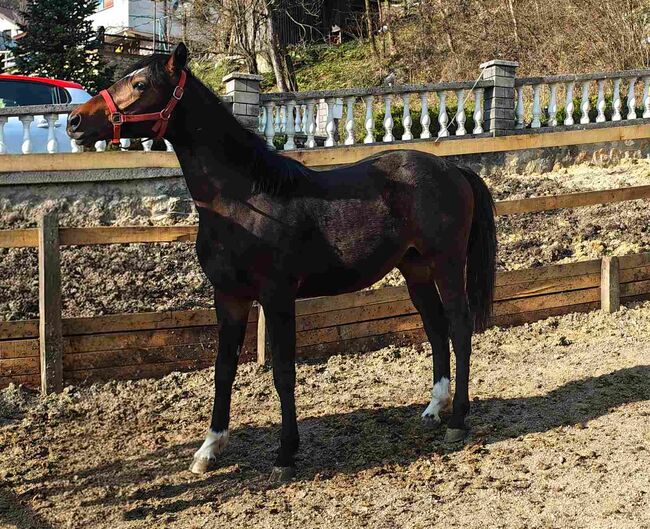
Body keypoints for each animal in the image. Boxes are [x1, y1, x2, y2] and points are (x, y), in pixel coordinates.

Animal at [67, 43, 497, 483]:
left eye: (140, 84)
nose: (74, 120)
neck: (244, 200)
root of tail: (452, 168)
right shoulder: (229, 298)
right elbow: (224, 369)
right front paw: (209, 448)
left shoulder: (276, 298)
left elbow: (283, 373)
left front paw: (286, 453)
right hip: (415, 270)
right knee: (436, 328)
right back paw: (433, 408)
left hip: (447, 265)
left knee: (460, 327)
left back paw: (458, 419)